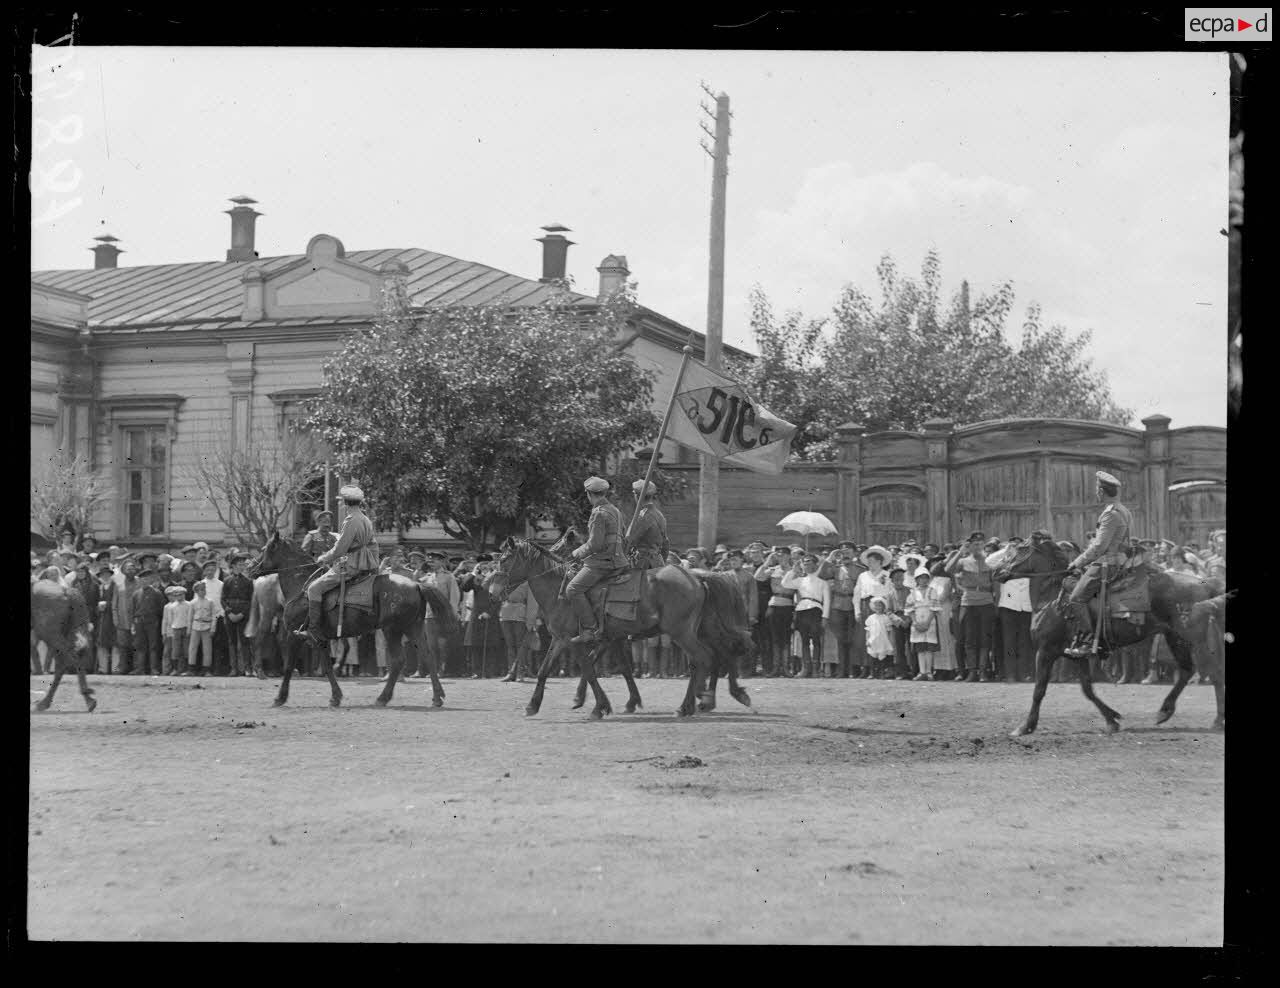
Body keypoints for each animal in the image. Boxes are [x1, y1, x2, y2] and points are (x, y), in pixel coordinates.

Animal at [247, 532, 458, 711]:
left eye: (265, 548)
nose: (250, 567)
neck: (301, 586)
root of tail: (416, 584)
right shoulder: (320, 639)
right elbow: (327, 666)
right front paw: (336, 696)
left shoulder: (295, 635)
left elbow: (290, 666)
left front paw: (280, 697)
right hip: (413, 627)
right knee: (428, 656)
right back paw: (437, 697)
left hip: (392, 630)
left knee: (398, 660)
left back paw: (383, 698)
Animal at [483, 540, 752, 716]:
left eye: (504, 559)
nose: (492, 592)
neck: (560, 590)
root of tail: (696, 577)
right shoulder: (569, 639)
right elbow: (545, 670)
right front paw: (533, 705)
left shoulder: (577, 640)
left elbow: (590, 669)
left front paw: (599, 706)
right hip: (700, 630)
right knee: (719, 654)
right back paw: (715, 698)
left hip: (682, 632)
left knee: (705, 658)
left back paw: (692, 704)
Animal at [993, 540, 1223, 732]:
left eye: (1019, 550)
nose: (996, 572)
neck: (1051, 599)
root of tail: (1206, 582)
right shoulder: (1077, 654)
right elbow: (1088, 689)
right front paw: (1112, 719)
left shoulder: (1045, 651)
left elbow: (1039, 690)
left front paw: (1025, 726)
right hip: (1175, 638)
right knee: (1186, 671)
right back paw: (1164, 711)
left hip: (1196, 641)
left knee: (1214, 673)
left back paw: (1217, 720)